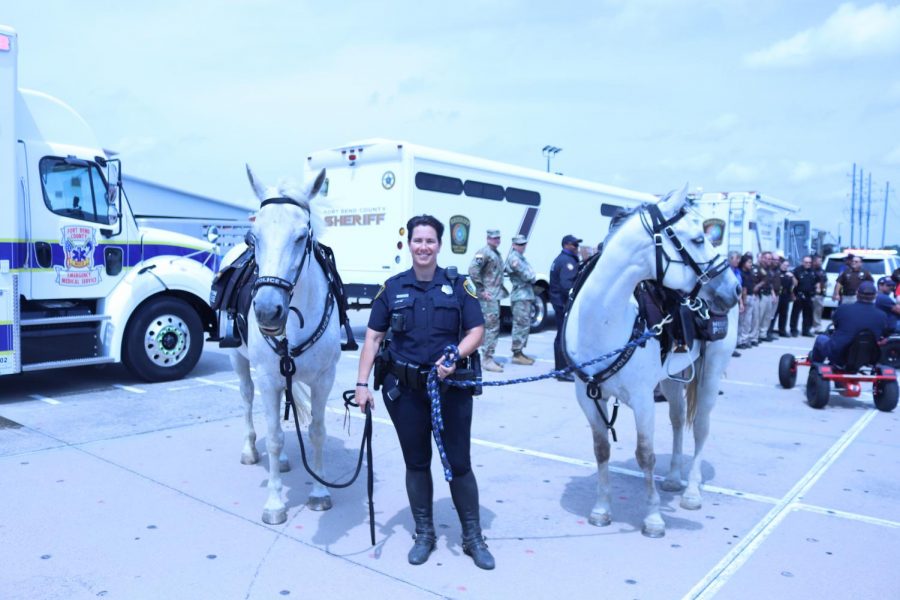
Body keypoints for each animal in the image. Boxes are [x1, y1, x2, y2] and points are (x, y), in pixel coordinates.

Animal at [229, 165, 342, 524]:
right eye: (253, 237)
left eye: (302, 236)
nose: (267, 310)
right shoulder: (267, 377)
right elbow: (276, 437)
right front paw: (275, 503)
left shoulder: (324, 379)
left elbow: (317, 431)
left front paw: (319, 492)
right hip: (239, 362)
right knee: (248, 400)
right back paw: (250, 450)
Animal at [568, 185, 740, 536]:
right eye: (698, 239)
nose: (734, 287)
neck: (603, 320)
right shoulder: (588, 396)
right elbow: (601, 449)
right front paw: (601, 510)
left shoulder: (643, 399)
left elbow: (645, 454)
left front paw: (653, 518)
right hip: (671, 379)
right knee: (677, 420)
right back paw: (673, 478)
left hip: (710, 373)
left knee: (700, 427)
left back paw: (691, 491)